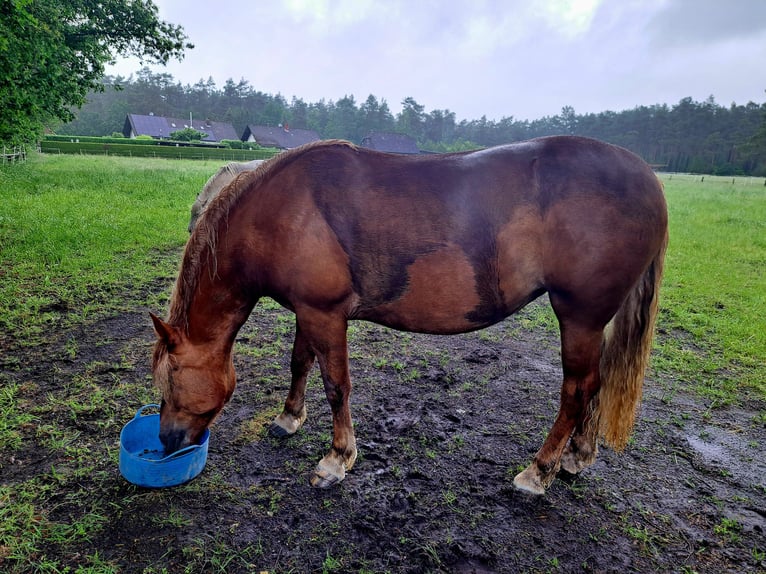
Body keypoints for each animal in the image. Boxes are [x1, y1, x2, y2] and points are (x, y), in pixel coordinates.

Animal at [151, 136, 668, 495]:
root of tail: (646, 177)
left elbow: (336, 385)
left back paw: (539, 471)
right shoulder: (308, 310)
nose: (168, 441)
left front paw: (337, 459)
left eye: (170, 381)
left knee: (577, 390)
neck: (282, 211)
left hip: (579, 317)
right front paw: (289, 418)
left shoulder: (326, 315)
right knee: (596, 384)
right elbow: (300, 363)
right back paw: (578, 456)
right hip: (594, 322)